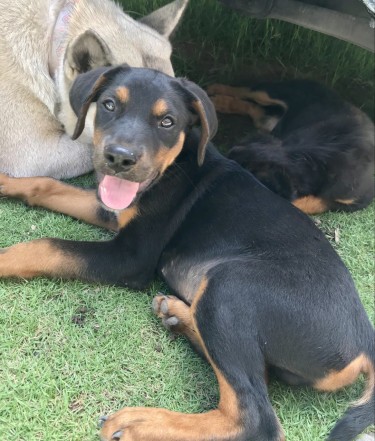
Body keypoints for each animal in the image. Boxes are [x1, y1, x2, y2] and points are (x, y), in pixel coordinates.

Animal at [209, 81, 375, 215]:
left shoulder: (354, 201)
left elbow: (311, 202)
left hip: (267, 121)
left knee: (255, 109)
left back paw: (222, 102)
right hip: (275, 93)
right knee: (248, 90)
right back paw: (216, 92)